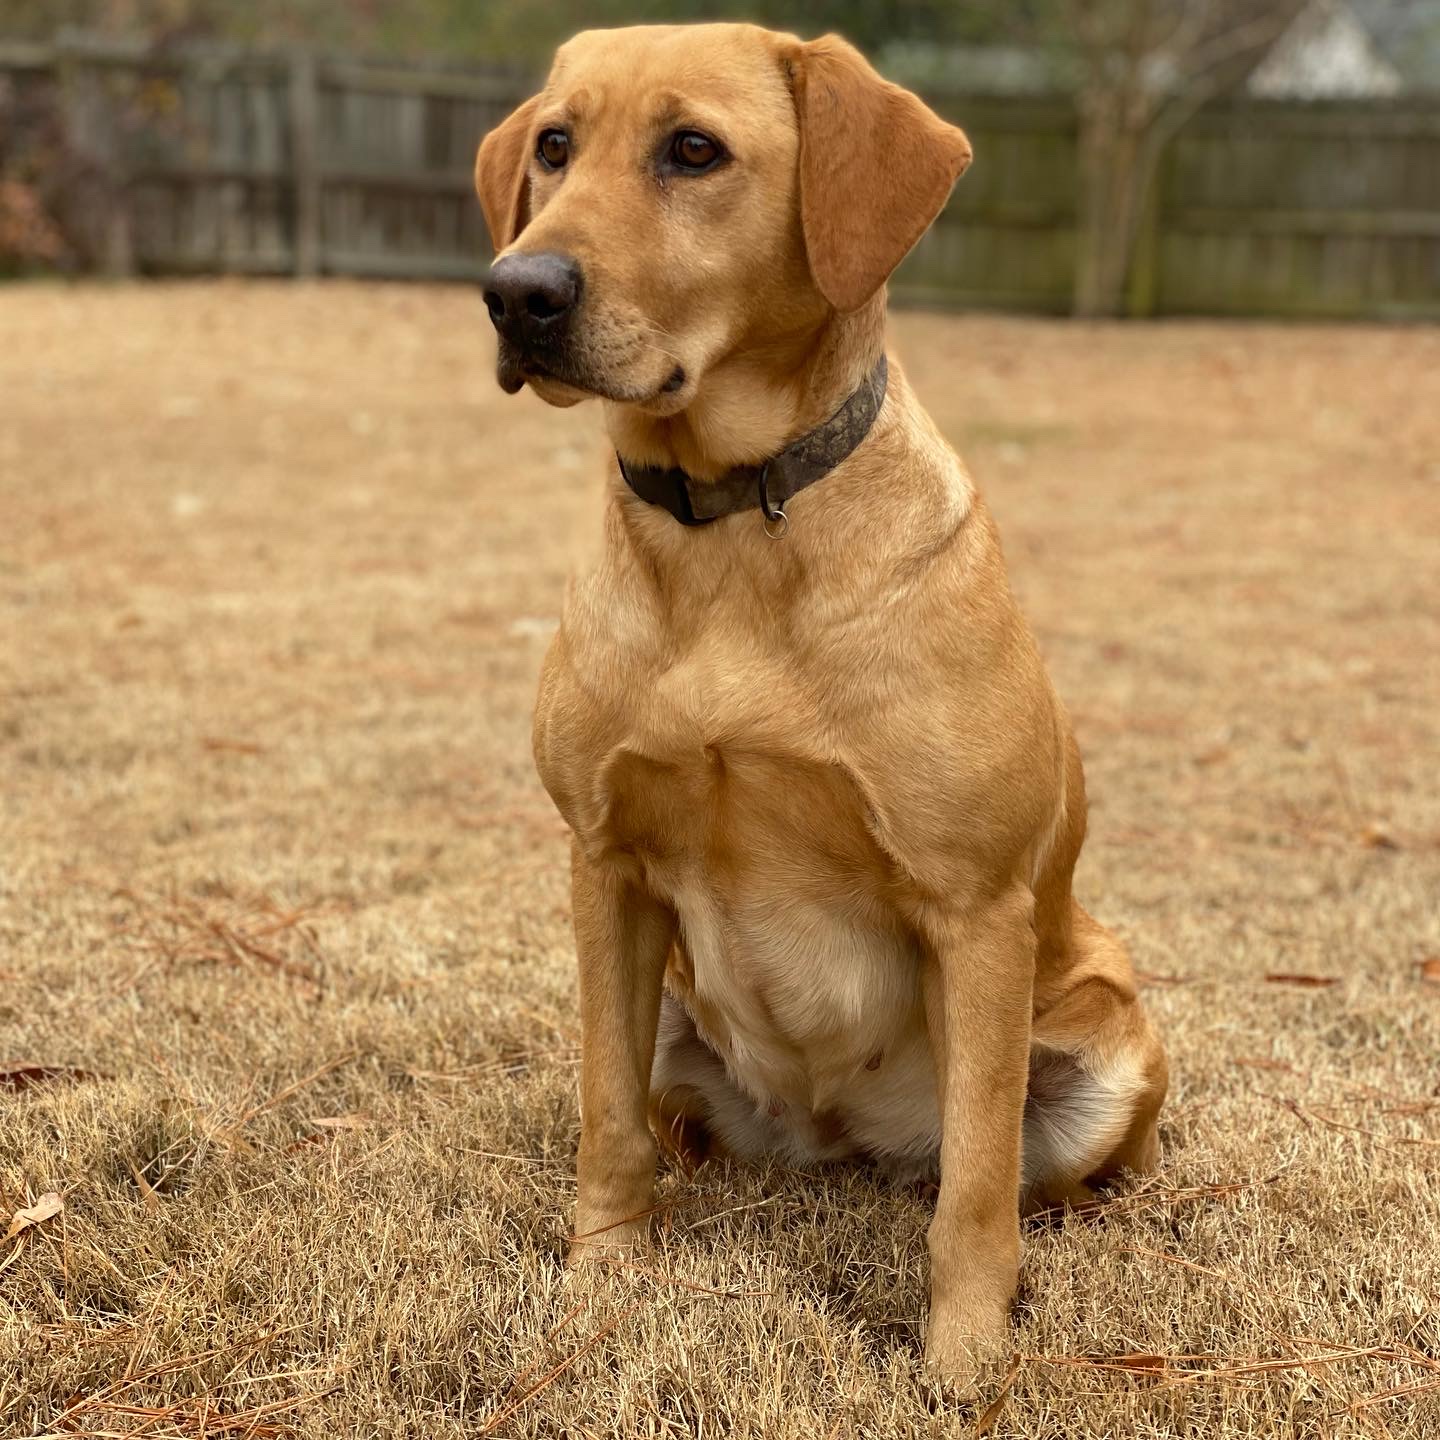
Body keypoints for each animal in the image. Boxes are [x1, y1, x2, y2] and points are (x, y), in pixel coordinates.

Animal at [475, 19, 1169, 1370]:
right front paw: (602, 1278)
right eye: (556, 145)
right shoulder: (603, 865)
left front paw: (966, 1360)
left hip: (1107, 1034)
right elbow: (604, 1115)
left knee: (1010, 1170)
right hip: (673, 1014)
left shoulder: (976, 910)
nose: (515, 292)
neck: (732, 526)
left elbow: (975, 1186)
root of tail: (837, 1139)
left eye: (694, 150)